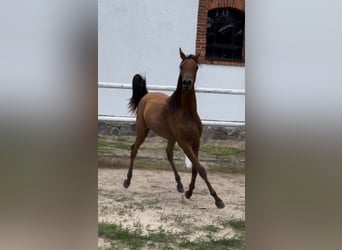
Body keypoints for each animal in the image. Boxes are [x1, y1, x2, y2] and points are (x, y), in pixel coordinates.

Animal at [123, 47, 224, 208]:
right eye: (181, 66)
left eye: (196, 67)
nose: (187, 83)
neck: (186, 112)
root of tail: (146, 96)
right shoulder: (184, 142)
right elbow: (201, 168)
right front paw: (218, 199)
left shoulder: (196, 141)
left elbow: (195, 168)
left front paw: (189, 192)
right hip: (142, 131)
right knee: (134, 149)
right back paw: (127, 181)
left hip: (170, 137)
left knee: (169, 154)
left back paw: (179, 185)